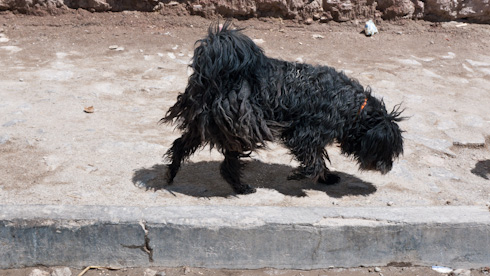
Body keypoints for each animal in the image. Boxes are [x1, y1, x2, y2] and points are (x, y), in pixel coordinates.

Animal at [161, 21, 402, 194]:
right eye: (387, 150)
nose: (388, 168)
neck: (354, 108)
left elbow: (318, 158)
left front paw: (326, 177)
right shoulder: (304, 134)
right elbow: (313, 161)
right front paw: (299, 176)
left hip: (205, 124)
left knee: (181, 145)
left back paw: (171, 174)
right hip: (242, 125)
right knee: (227, 164)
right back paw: (241, 188)